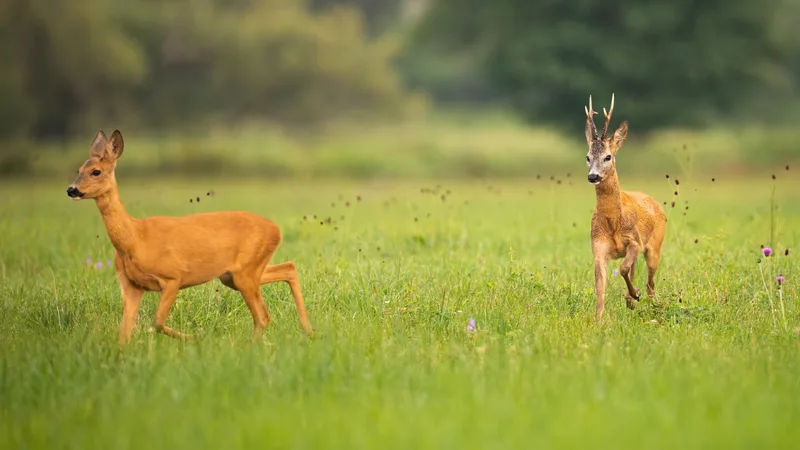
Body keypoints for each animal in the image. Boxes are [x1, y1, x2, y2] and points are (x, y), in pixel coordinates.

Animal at [66, 130, 314, 346]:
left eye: (96, 171)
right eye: (79, 169)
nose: (72, 189)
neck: (135, 239)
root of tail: (277, 230)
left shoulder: (173, 276)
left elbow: (156, 323)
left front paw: (196, 337)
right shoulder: (131, 286)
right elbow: (124, 334)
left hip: (246, 271)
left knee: (263, 316)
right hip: (233, 275)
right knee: (288, 269)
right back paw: (308, 331)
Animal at [583, 94, 666, 320]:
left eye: (608, 156)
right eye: (587, 157)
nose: (593, 176)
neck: (613, 223)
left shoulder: (635, 241)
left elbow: (622, 268)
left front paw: (634, 294)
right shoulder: (598, 249)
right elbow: (600, 287)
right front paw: (598, 319)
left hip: (654, 246)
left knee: (650, 282)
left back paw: (646, 301)